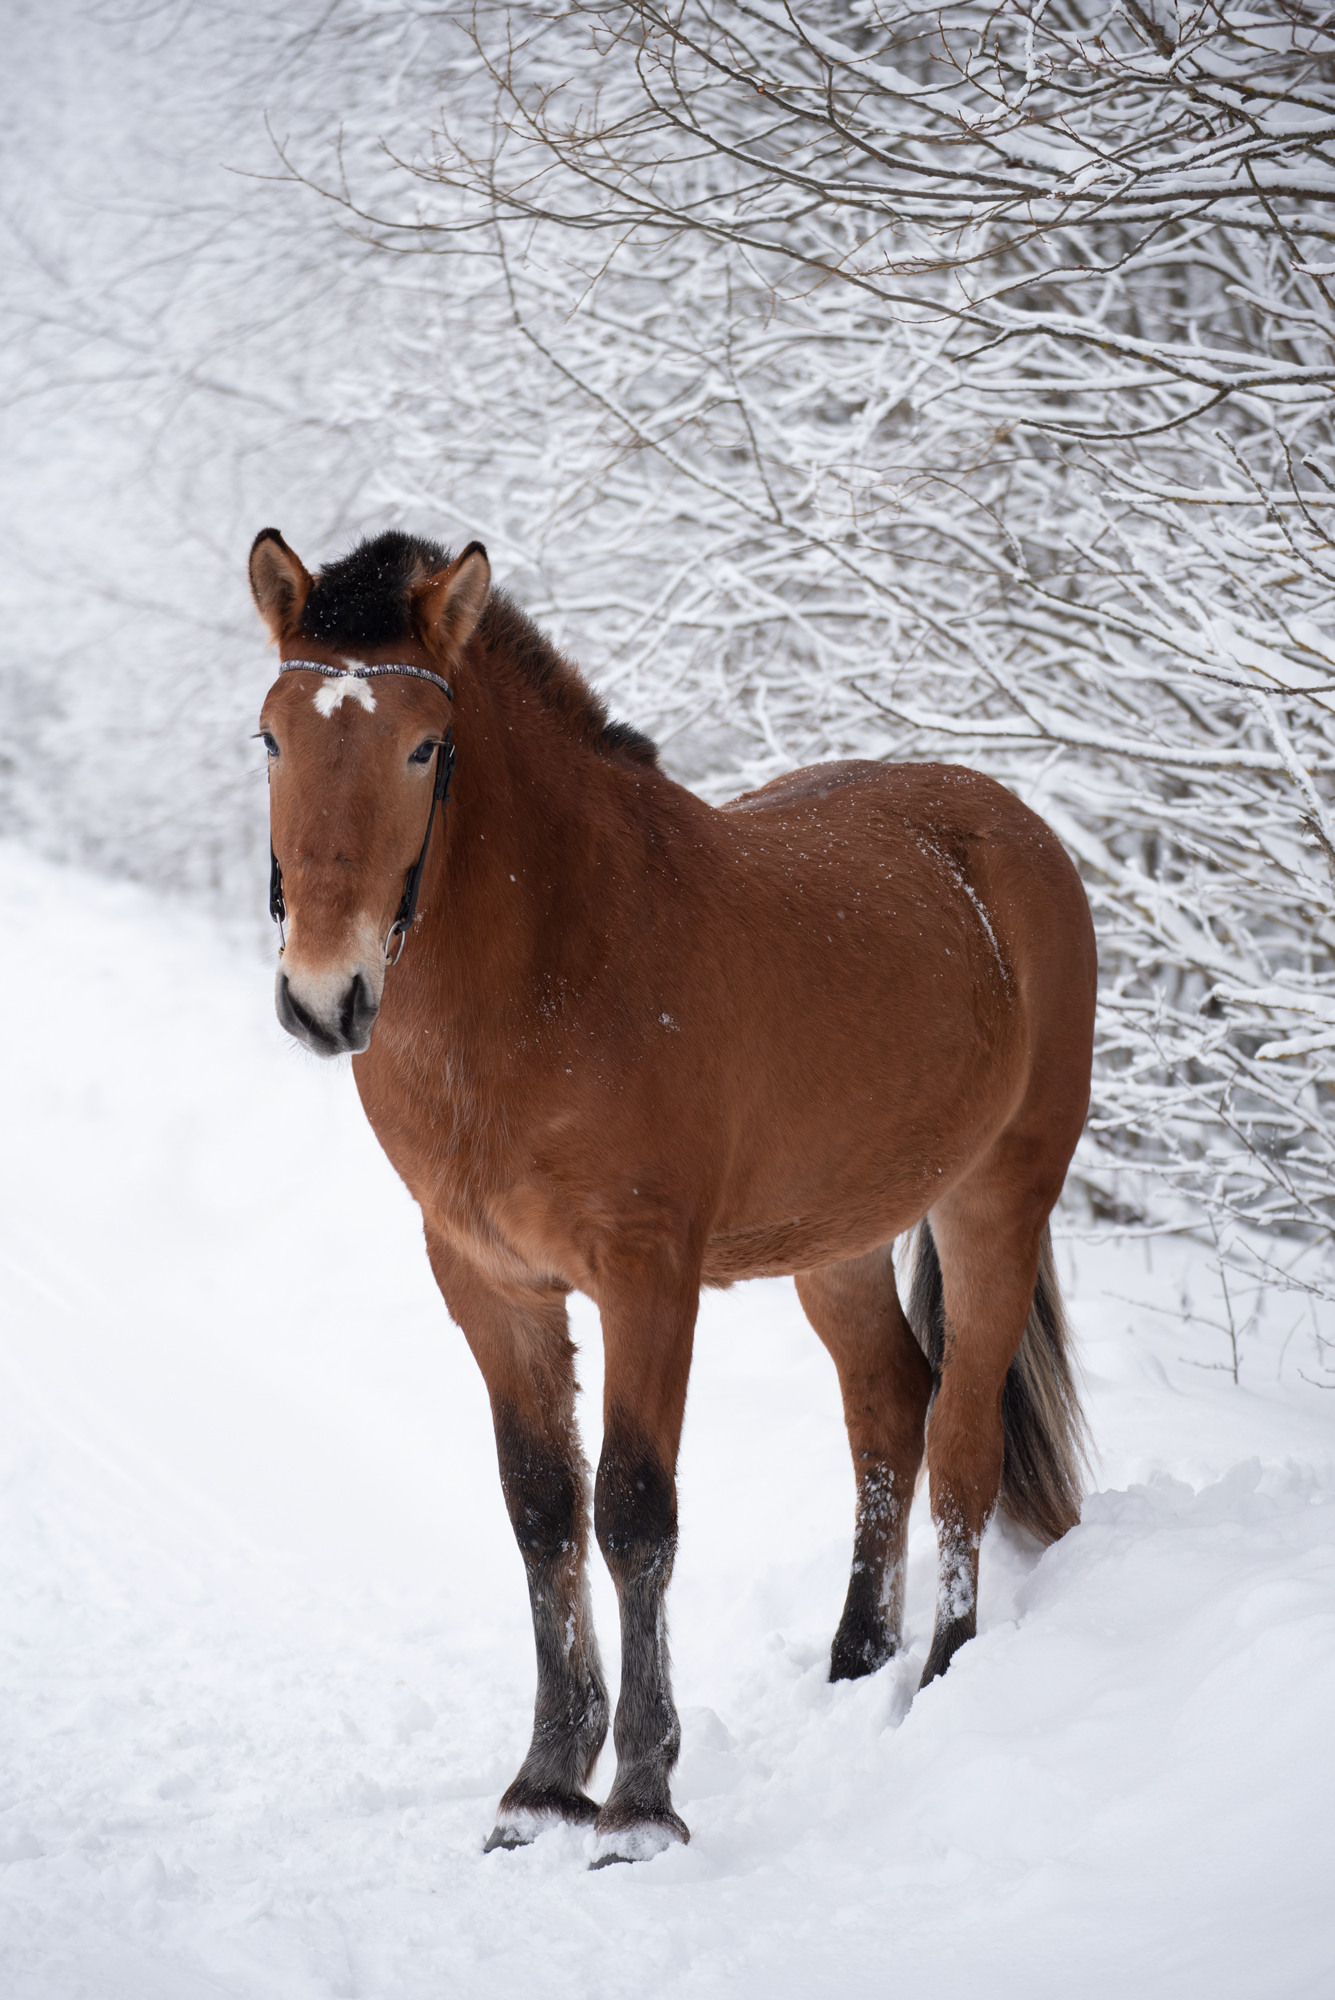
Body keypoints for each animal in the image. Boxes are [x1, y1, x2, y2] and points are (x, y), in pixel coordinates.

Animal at [249, 528, 1095, 1856]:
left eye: (424, 746)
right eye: (272, 736)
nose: (324, 996)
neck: (551, 963)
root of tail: (1017, 834)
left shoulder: (648, 1276)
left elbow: (634, 1512)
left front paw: (640, 1800)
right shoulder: (489, 1280)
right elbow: (542, 1509)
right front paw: (545, 1780)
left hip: (996, 1198)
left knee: (961, 1437)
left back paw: (943, 1674)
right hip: (836, 1239)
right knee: (888, 1405)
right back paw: (856, 1657)